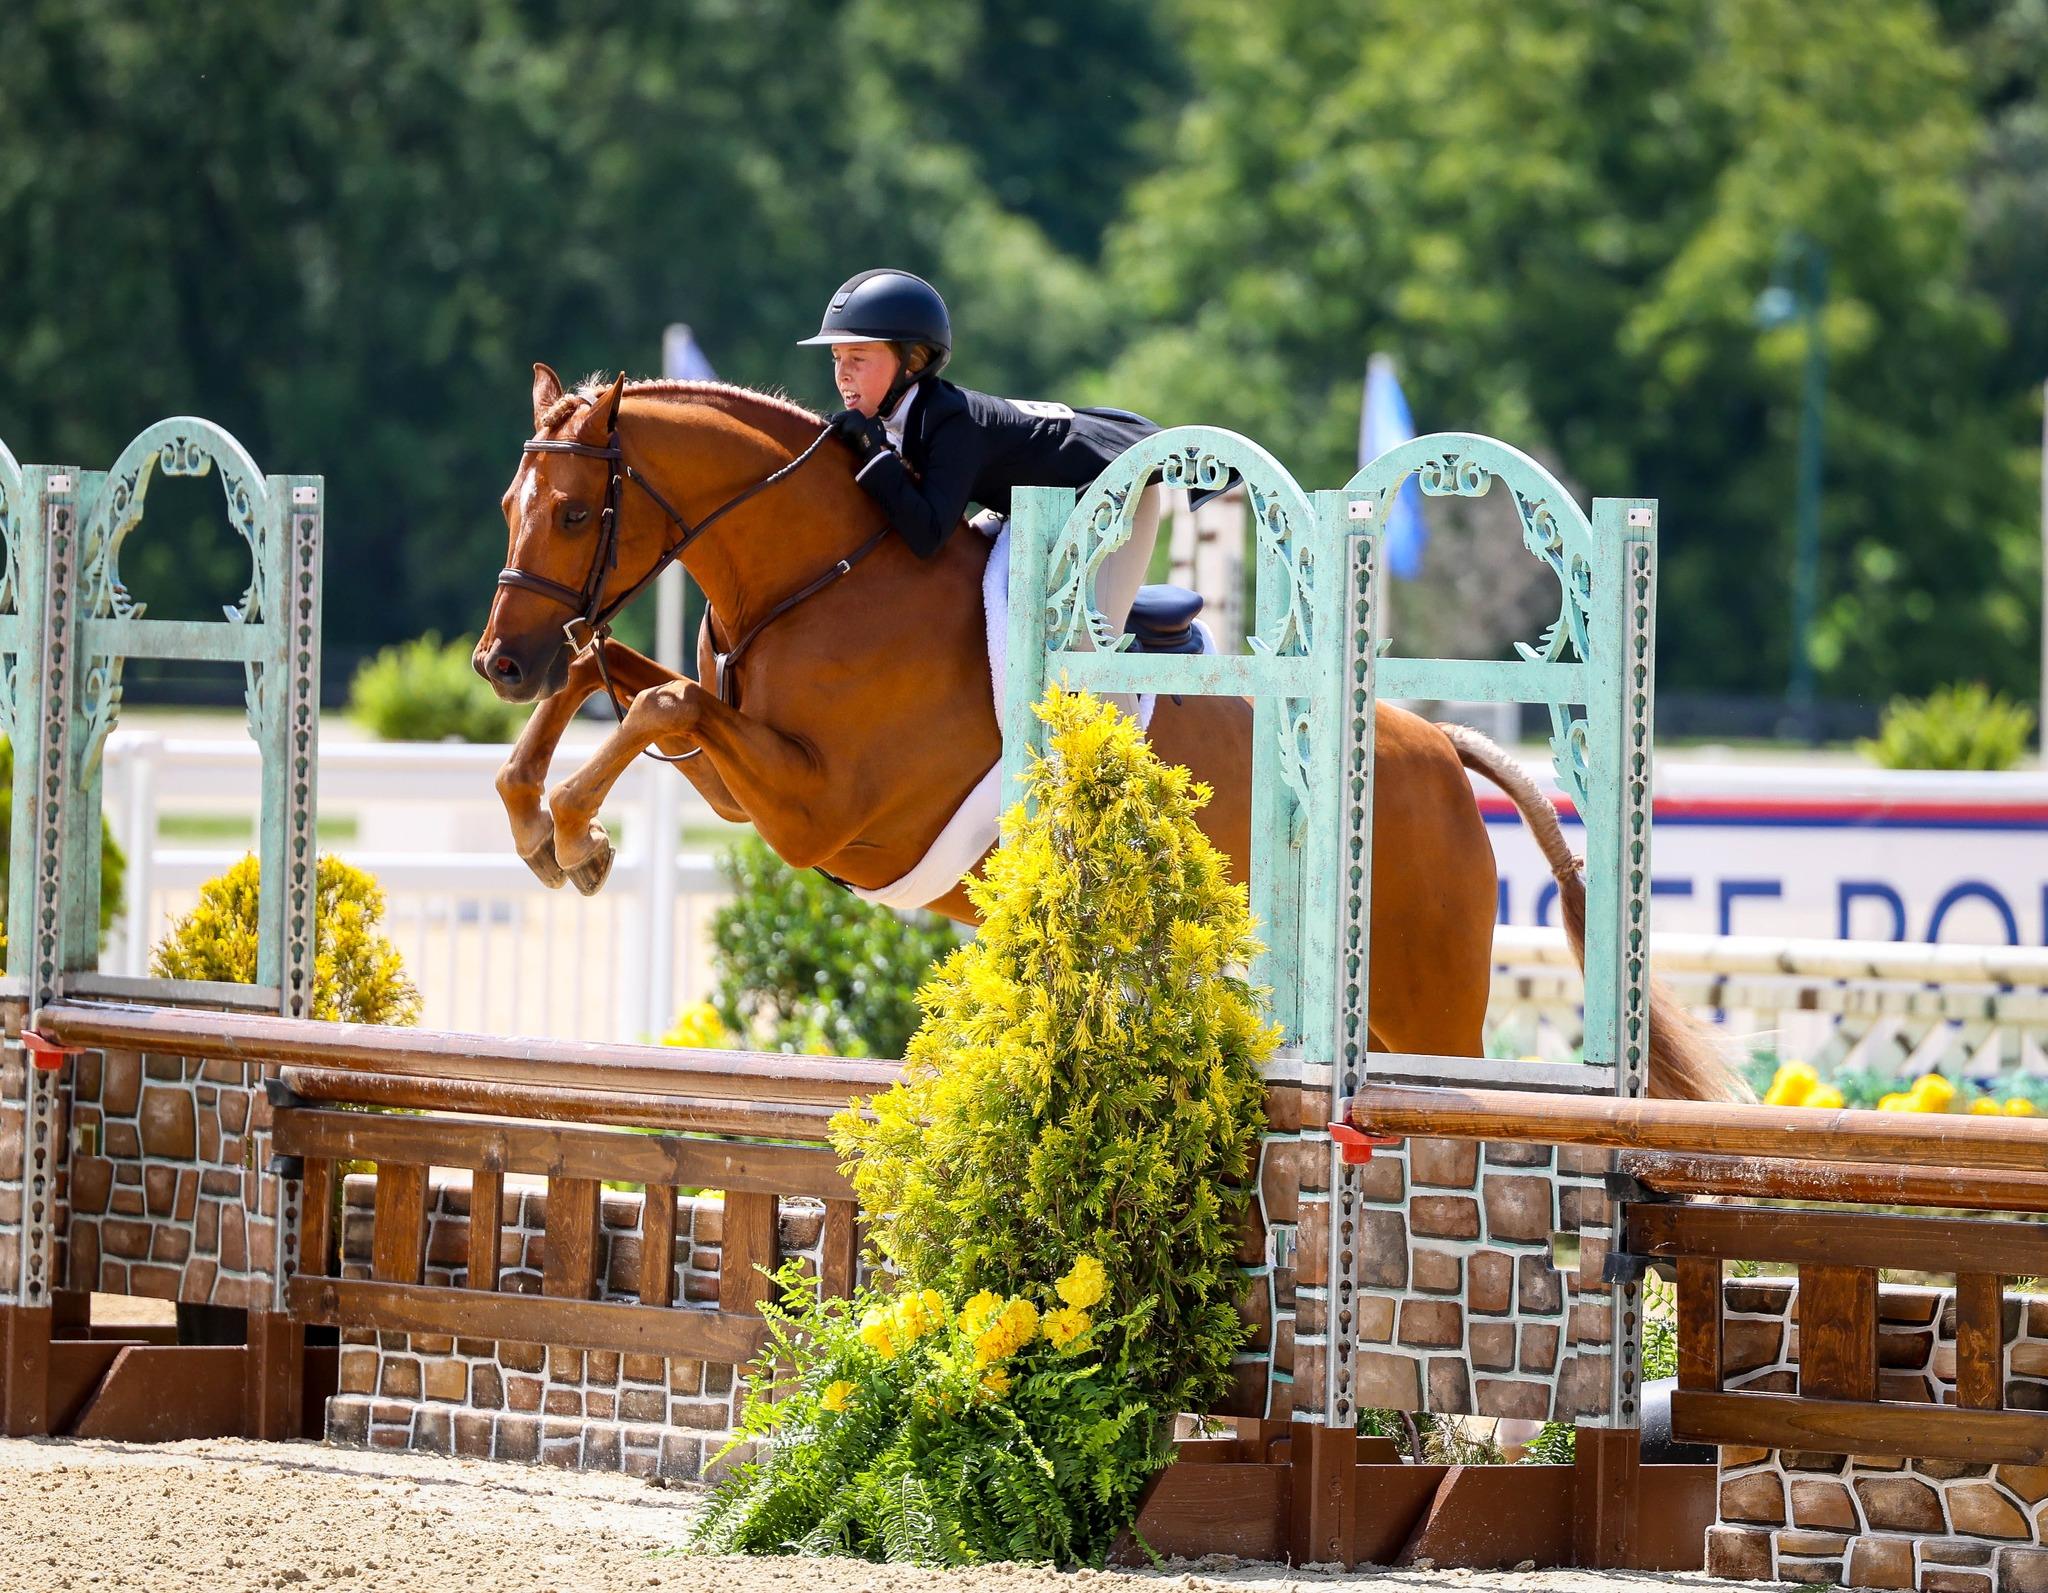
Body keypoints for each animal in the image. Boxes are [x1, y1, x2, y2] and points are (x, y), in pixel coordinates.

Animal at [476, 365, 1731, 1099]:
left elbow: (657, 700)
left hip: (1422, 1000)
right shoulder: (743, 779)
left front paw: (573, 835)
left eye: (577, 512)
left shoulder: (826, 815)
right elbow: (614, 676)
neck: (823, 572)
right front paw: (536, 817)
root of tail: (1434, 747)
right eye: (509, 505)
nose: (495, 662)